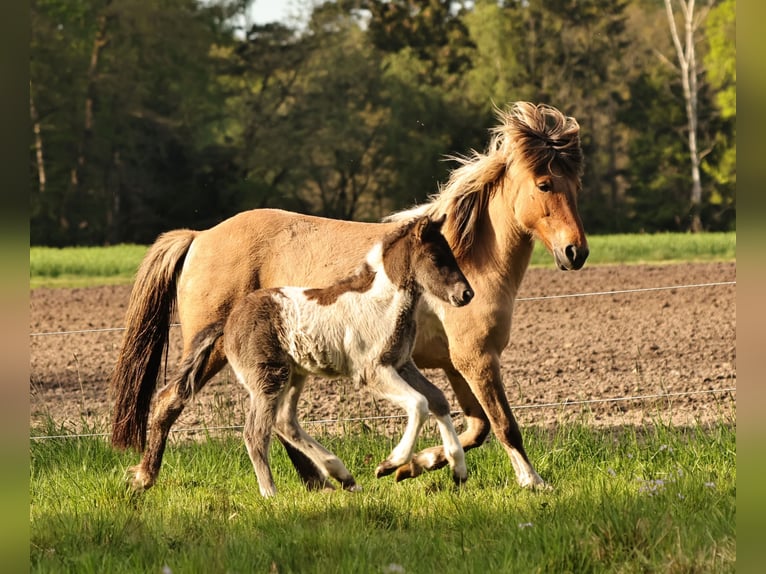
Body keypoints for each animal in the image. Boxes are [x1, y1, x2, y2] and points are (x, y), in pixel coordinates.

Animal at [145, 215, 473, 496]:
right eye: (436, 258)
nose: (466, 294)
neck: (382, 302)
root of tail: (227, 322)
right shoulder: (372, 371)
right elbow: (419, 404)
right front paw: (389, 464)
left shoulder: (402, 364)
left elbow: (438, 400)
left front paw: (458, 470)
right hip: (268, 378)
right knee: (255, 432)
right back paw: (270, 493)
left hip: (294, 375)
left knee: (284, 422)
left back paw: (342, 476)